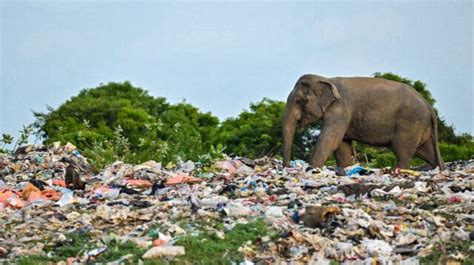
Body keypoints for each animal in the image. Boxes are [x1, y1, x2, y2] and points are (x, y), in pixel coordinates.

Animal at [284, 73, 446, 170]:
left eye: (299, 101)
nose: (287, 168)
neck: (327, 79)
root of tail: (429, 106)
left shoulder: (341, 110)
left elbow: (330, 140)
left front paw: (311, 169)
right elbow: (342, 145)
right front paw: (345, 169)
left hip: (410, 122)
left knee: (402, 149)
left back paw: (398, 171)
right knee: (426, 151)